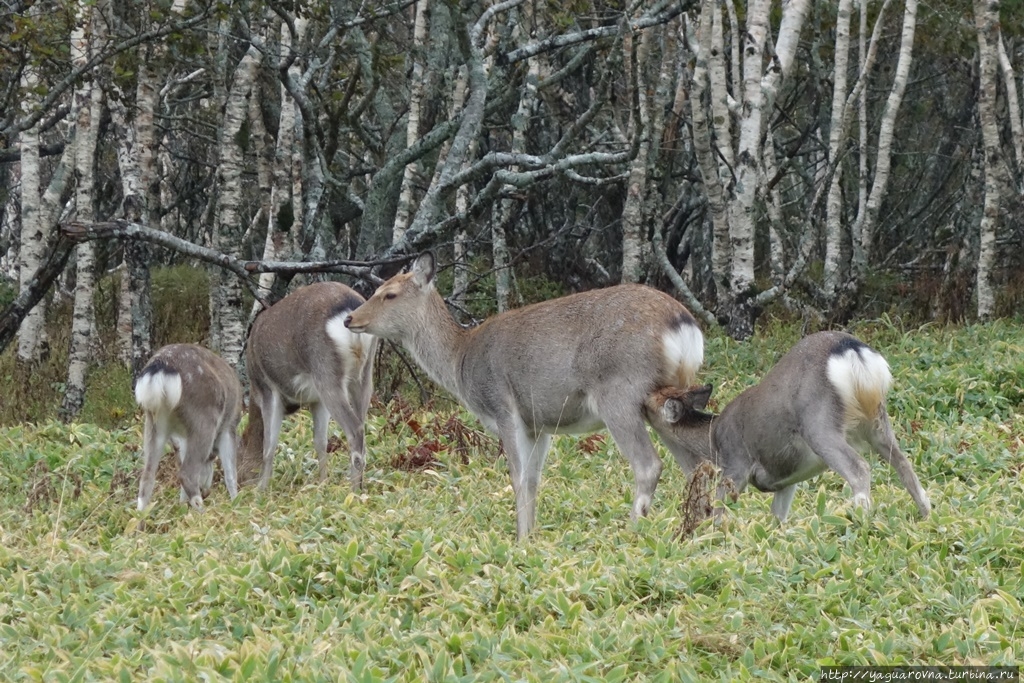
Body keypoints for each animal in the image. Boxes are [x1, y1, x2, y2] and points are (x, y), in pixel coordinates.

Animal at [134, 344, 243, 509]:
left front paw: (182, 505)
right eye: (211, 457)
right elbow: (231, 473)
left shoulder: (183, 437)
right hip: (205, 418)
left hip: (155, 422)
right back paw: (202, 512)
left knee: (146, 478)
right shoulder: (229, 426)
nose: (206, 491)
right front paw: (236, 504)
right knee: (187, 474)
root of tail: (161, 366)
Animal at [240, 282, 380, 491]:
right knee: (361, 423)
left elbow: (269, 445)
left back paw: (354, 490)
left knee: (354, 429)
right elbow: (320, 441)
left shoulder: (268, 389)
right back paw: (359, 485)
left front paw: (262, 489)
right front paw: (322, 483)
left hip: (326, 370)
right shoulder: (316, 401)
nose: (240, 483)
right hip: (364, 373)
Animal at [344, 250, 704, 540]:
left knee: (648, 464)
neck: (461, 359)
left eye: (389, 294)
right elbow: (532, 479)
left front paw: (519, 541)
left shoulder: (503, 405)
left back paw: (633, 532)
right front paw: (529, 537)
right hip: (667, 399)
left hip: (619, 392)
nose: (350, 318)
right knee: (696, 464)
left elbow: (516, 477)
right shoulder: (538, 423)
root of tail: (684, 327)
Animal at [643, 331, 933, 524]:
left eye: (652, 401)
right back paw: (927, 515)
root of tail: (853, 351)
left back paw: (861, 521)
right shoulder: (787, 480)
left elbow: (719, 511)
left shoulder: (736, 464)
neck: (713, 441)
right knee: (903, 462)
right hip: (876, 421)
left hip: (819, 423)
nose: (641, 398)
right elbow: (777, 518)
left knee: (859, 468)